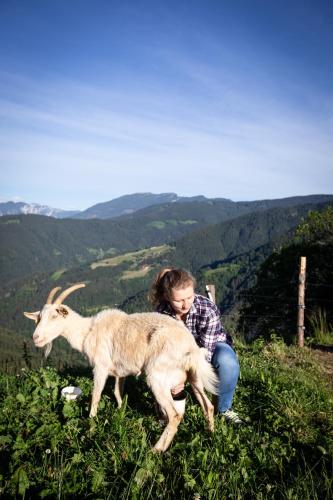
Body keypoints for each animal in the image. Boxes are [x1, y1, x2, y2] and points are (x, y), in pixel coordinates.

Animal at [25, 284, 218, 452]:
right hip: (194, 377)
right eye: (39, 318)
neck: (88, 331)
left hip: (157, 378)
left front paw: (91, 425)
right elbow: (118, 392)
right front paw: (120, 412)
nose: (36, 338)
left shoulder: (100, 367)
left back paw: (156, 449)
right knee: (207, 405)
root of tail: (191, 349)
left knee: (175, 415)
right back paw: (210, 434)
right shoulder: (120, 371)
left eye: (55, 316)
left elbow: (96, 395)